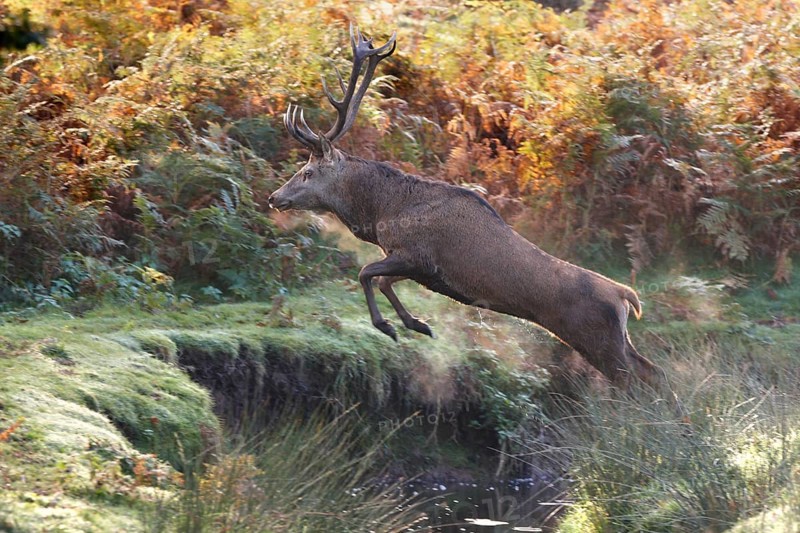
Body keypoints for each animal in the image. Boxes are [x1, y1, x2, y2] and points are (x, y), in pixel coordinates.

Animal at [268, 26, 674, 398]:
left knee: (635, 379)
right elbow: (381, 280)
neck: (382, 211)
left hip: (598, 339)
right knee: (654, 372)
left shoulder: (416, 254)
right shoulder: (417, 267)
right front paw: (416, 324)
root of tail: (625, 295)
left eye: (307, 172)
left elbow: (365, 272)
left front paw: (389, 326)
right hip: (615, 339)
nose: (274, 197)